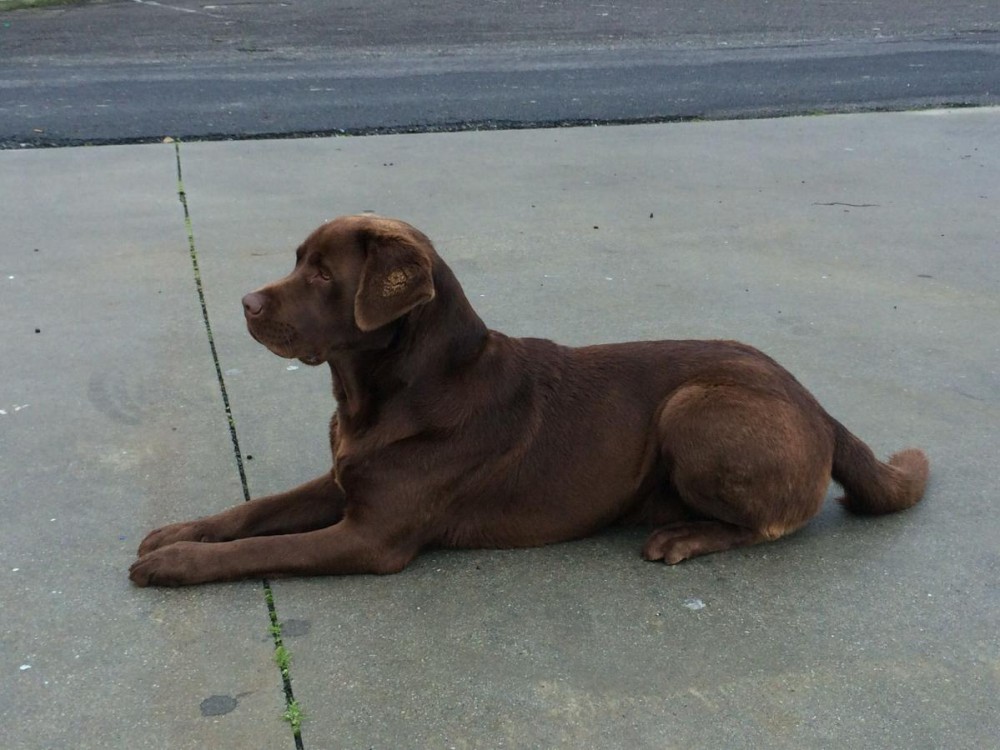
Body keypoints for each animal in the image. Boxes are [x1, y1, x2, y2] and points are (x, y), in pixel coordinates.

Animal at [129, 215, 929, 586]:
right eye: (299, 261)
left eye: (325, 275)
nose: (245, 304)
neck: (382, 397)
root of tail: (819, 406)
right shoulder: (343, 479)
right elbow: (253, 512)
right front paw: (178, 534)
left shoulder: (372, 536)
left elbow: (265, 548)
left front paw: (175, 566)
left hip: (695, 408)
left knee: (772, 523)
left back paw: (684, 536)